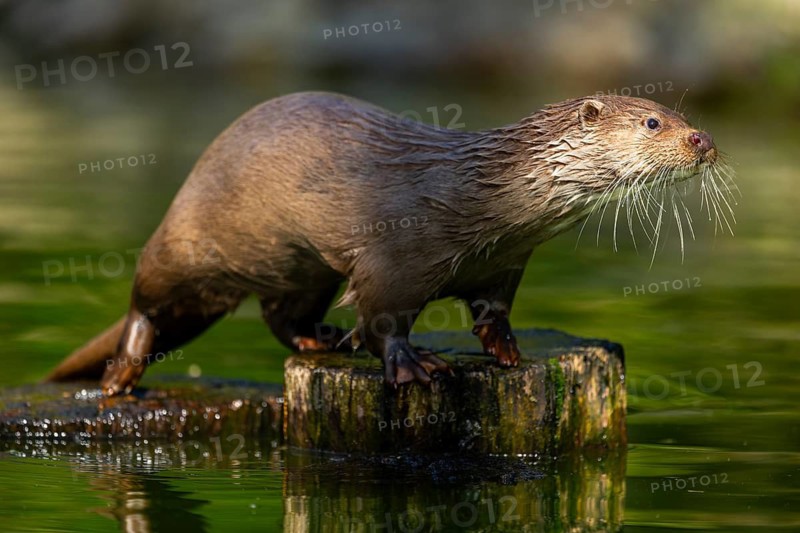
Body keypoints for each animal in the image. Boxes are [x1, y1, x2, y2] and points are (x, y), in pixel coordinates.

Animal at [45, 92, 728, 395]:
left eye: (683, 114)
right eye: (654, 122)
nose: (704, 140)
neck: (488, 201)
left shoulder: (505, 264)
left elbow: (494, 314)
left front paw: (507, 353)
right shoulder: (394, 257)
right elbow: (382, 321)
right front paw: (413, 365)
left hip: (301, 268)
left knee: (279, 312)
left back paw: (317, 340)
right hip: (190, 241)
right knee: (145, 303)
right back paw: (121, 376)